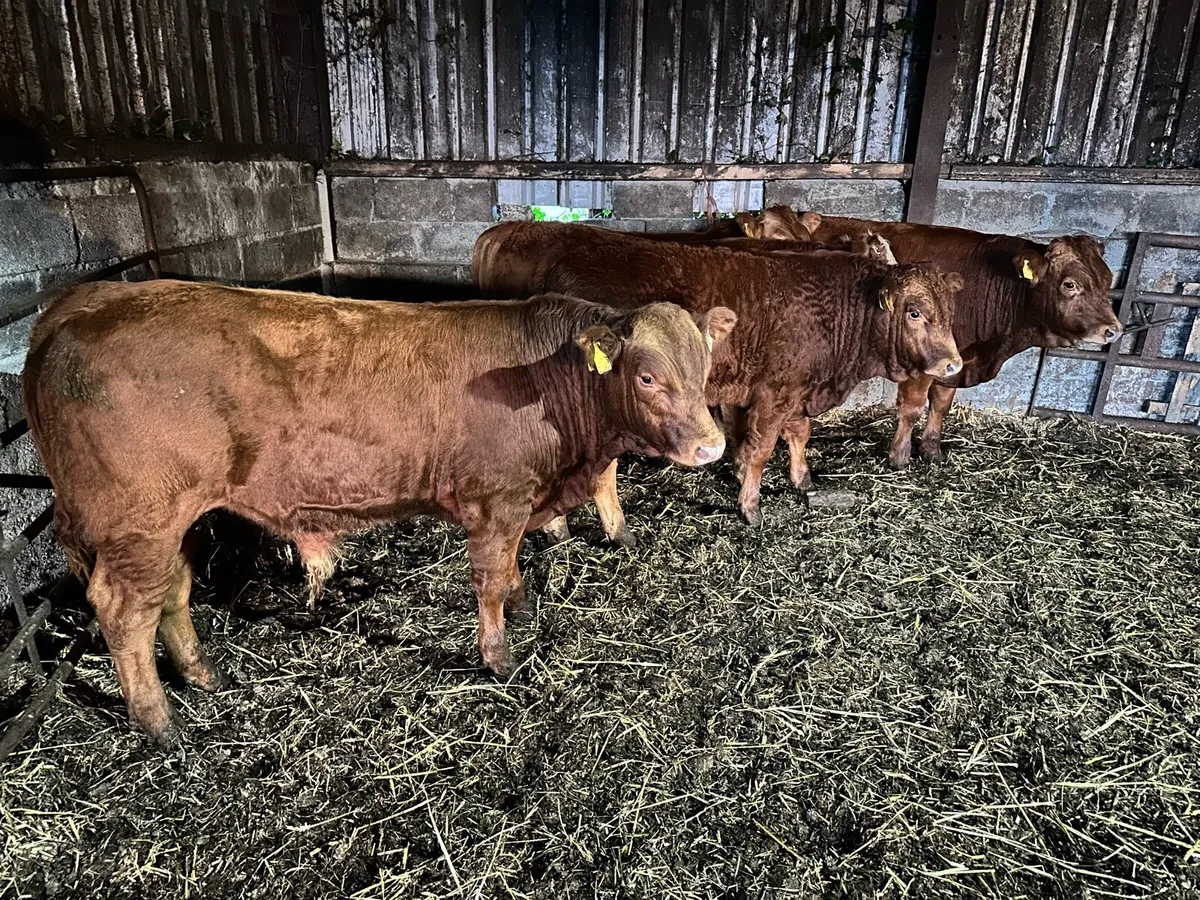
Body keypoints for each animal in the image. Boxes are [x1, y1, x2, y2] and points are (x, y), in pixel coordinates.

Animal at [23, 280, 735, 746]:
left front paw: (524, 601)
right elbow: (488, 579)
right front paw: (499, 658)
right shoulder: (496, 499)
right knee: (124, 610)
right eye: (646, 376)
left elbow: (509, 572)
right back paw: (159, 722)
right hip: (139, 522)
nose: (711, 445)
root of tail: (79, 301)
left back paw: (203, 675)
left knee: (172, 592)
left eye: (706, 367)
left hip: (179, 520)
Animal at [473, 221, 963, 532]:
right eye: (915, 312)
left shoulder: (795, 388)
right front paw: (750, 505)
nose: (953, 365)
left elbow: (797, 434)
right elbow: (761, 448)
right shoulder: (775, 391)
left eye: (949, 311)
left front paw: (801, 479)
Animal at [738, 208, 1121, 469]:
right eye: (1070, 284)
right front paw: (900, 456)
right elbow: (911, 408)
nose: (1113, 329)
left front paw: (932, 449)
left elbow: (941, 404)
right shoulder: (923, 363)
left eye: (1108, 278)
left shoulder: (957, 360)